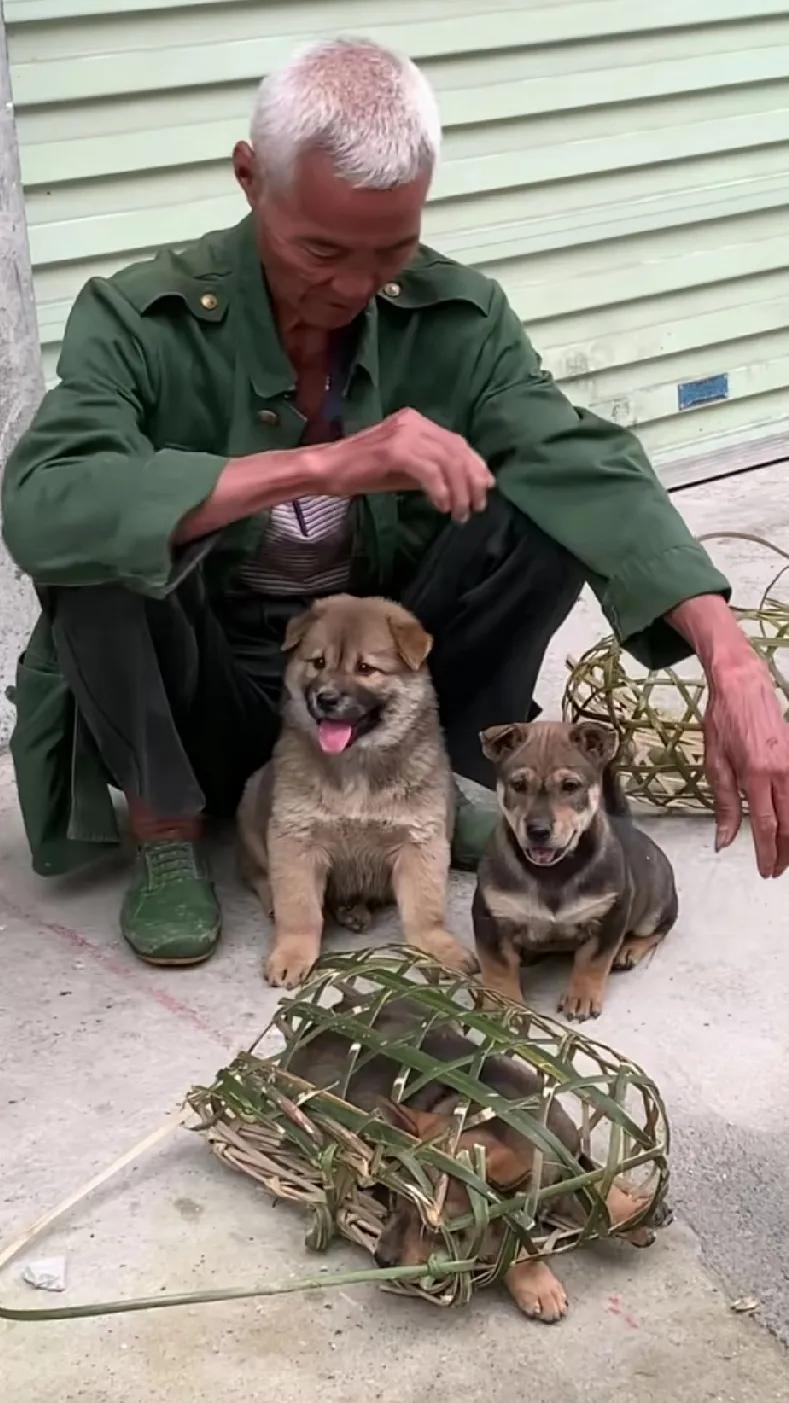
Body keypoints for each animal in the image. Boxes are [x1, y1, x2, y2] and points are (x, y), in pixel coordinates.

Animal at [186, 948, 665, 1307]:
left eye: (438, 1225)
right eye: (392, 1197)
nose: (382, 1259)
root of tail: (325, 1019)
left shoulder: (567, 1154)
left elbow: (596, 1184)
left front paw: (631, 1211)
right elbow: (513, 1245)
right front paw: (536, 1283)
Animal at [235, 592, 471, 987]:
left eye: (365, 668)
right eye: (318, 662)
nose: (326, 698)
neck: (356, 763)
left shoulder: (420, 840)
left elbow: (425, 910)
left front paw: (440, 949)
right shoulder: (296, 837)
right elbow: (299, 910)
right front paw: (291, 954)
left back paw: (354, 909)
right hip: (253, 808)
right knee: (257, 872)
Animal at [468, 723, 673, 1021]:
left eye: (570, 786)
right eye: (518, 785)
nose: (538, 831)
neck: (553, 872)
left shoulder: (610, 914)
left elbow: (592, 961)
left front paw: (581, 997)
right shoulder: (491, 916)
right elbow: (498, 967)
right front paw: (503, 1004)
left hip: (656, 910)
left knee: (657, 930)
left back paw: (629, 950)